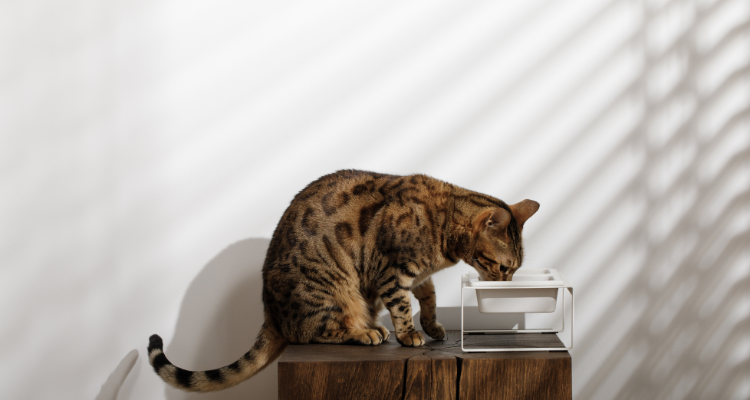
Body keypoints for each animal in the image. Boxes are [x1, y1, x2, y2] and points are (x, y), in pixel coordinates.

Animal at [148, 168, 540, 390]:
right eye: (503, 268)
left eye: (513, 270)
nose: (506, 285)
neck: (442, 228)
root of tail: (270, 315)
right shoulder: (391, 271)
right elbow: (403, 305)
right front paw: (410, 334)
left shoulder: (418, 276)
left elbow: (427, 298)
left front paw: (432, 326)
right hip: (333, 290)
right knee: (313, 332)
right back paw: (365, 331)